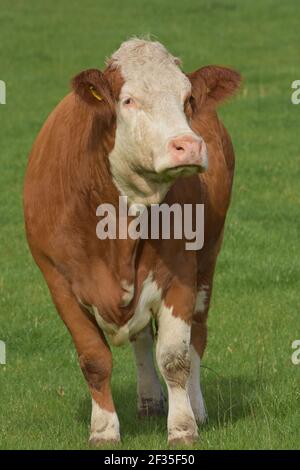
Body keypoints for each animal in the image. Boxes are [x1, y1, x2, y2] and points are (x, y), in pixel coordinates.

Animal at [22, 38, 240, 446]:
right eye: (128, 100)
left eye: (188, 98)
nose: (188, 145)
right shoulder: (57, 280)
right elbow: (94, 358)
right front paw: (104, 429)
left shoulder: (181, 274)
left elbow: (174, 357)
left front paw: (183, 427)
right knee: (141, 339)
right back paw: (150, 400)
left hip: (209, 258)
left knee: (197, 336)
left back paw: (196, 407)